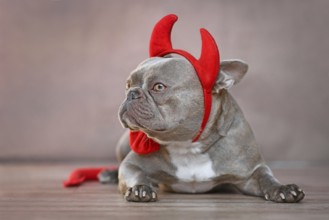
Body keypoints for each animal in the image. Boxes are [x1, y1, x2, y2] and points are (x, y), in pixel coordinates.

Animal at [101, 15, 304, 203]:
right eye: (127, 85)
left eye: (158, 87)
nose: (131, 93)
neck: (188, 146)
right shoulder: (132, 165)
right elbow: (134, 173)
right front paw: (140, 188)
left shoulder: (251, 172)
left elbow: (265, 177)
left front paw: (283, 188)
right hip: (123, 144)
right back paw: (109, 174)